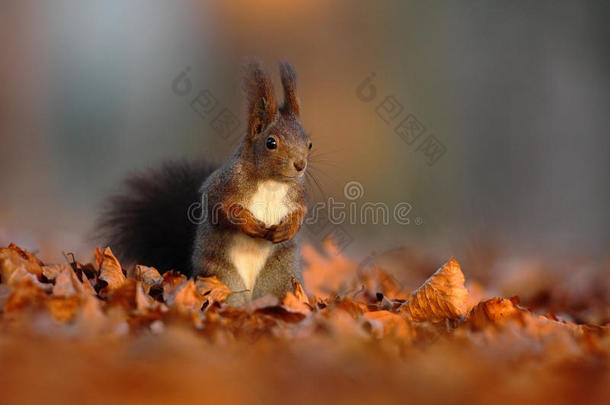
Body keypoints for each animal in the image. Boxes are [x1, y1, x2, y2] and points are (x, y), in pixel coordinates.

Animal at [99, 61, 312, 304]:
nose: (300, 165)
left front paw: (287, 229)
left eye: (309, 143)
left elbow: (301, 212)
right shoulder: (223, 185)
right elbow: (221, 208)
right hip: (221, 275)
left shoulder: (297, 194)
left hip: (280, 275)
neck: (271, 183)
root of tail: (249, 296)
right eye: (271, 143)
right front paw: (249, 223)